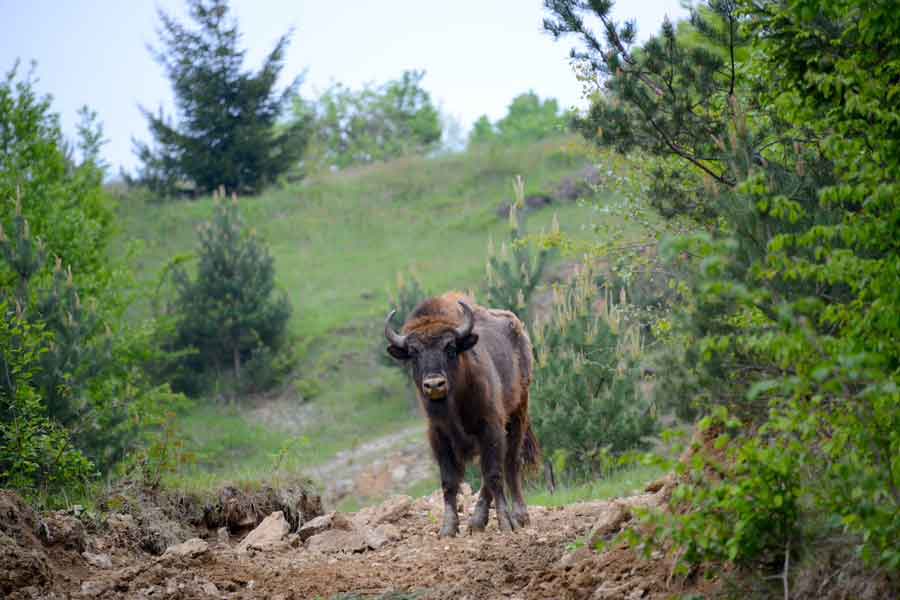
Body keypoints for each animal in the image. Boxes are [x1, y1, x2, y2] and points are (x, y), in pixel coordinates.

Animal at [384, 292, 536, 536]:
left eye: (450, 347)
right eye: (414, 353)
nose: (434, 384)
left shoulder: (490, 427)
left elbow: (494, 474)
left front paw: (506, 523)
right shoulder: (439, 437)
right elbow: (449, 482)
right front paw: (448, 528)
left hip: (517, 413)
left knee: (511, 463)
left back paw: (520, 516)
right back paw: (477, 522)